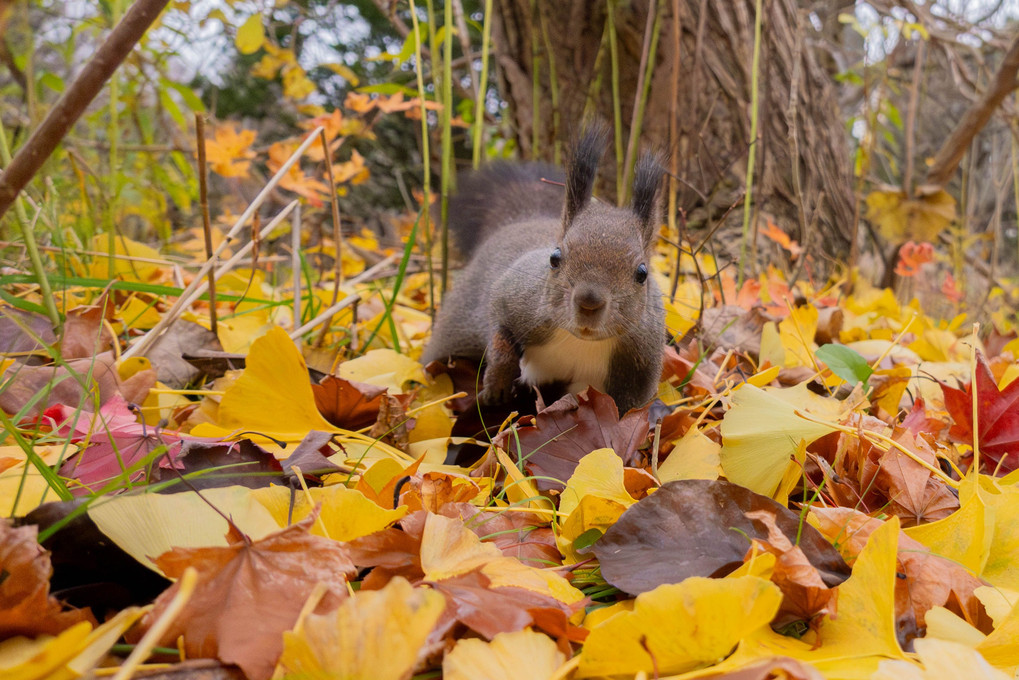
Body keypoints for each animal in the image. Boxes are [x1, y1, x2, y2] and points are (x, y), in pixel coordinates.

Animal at [419, 127, 664, 415]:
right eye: (554, 258)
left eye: (642, 273)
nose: (589, 302)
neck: (580, 341)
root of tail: (523, 219)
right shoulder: (515, 297)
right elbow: (499, 329)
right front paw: (497, 383)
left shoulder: (640, 364)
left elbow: (627, 411)